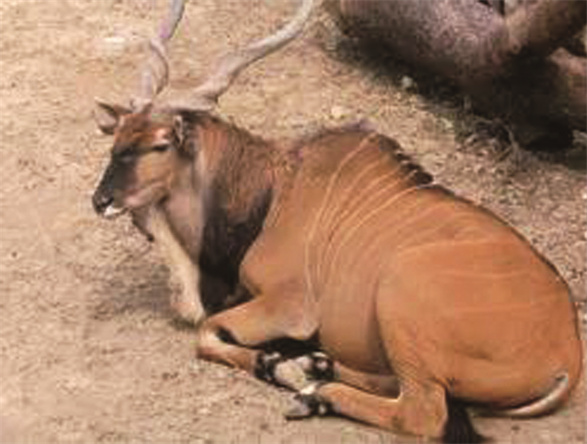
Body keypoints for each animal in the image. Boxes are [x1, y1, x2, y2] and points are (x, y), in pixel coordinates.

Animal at [92, 0, 583, 442]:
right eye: (118, 137)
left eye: (159, 144)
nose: (101, 200)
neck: (271, 191)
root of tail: (568, 355)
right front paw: (290, 364)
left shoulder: (288, 307)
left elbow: (207, 332)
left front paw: (278, 366)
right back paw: (317, 368)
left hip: (400, 291)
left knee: (421, 412)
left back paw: (317, 392)